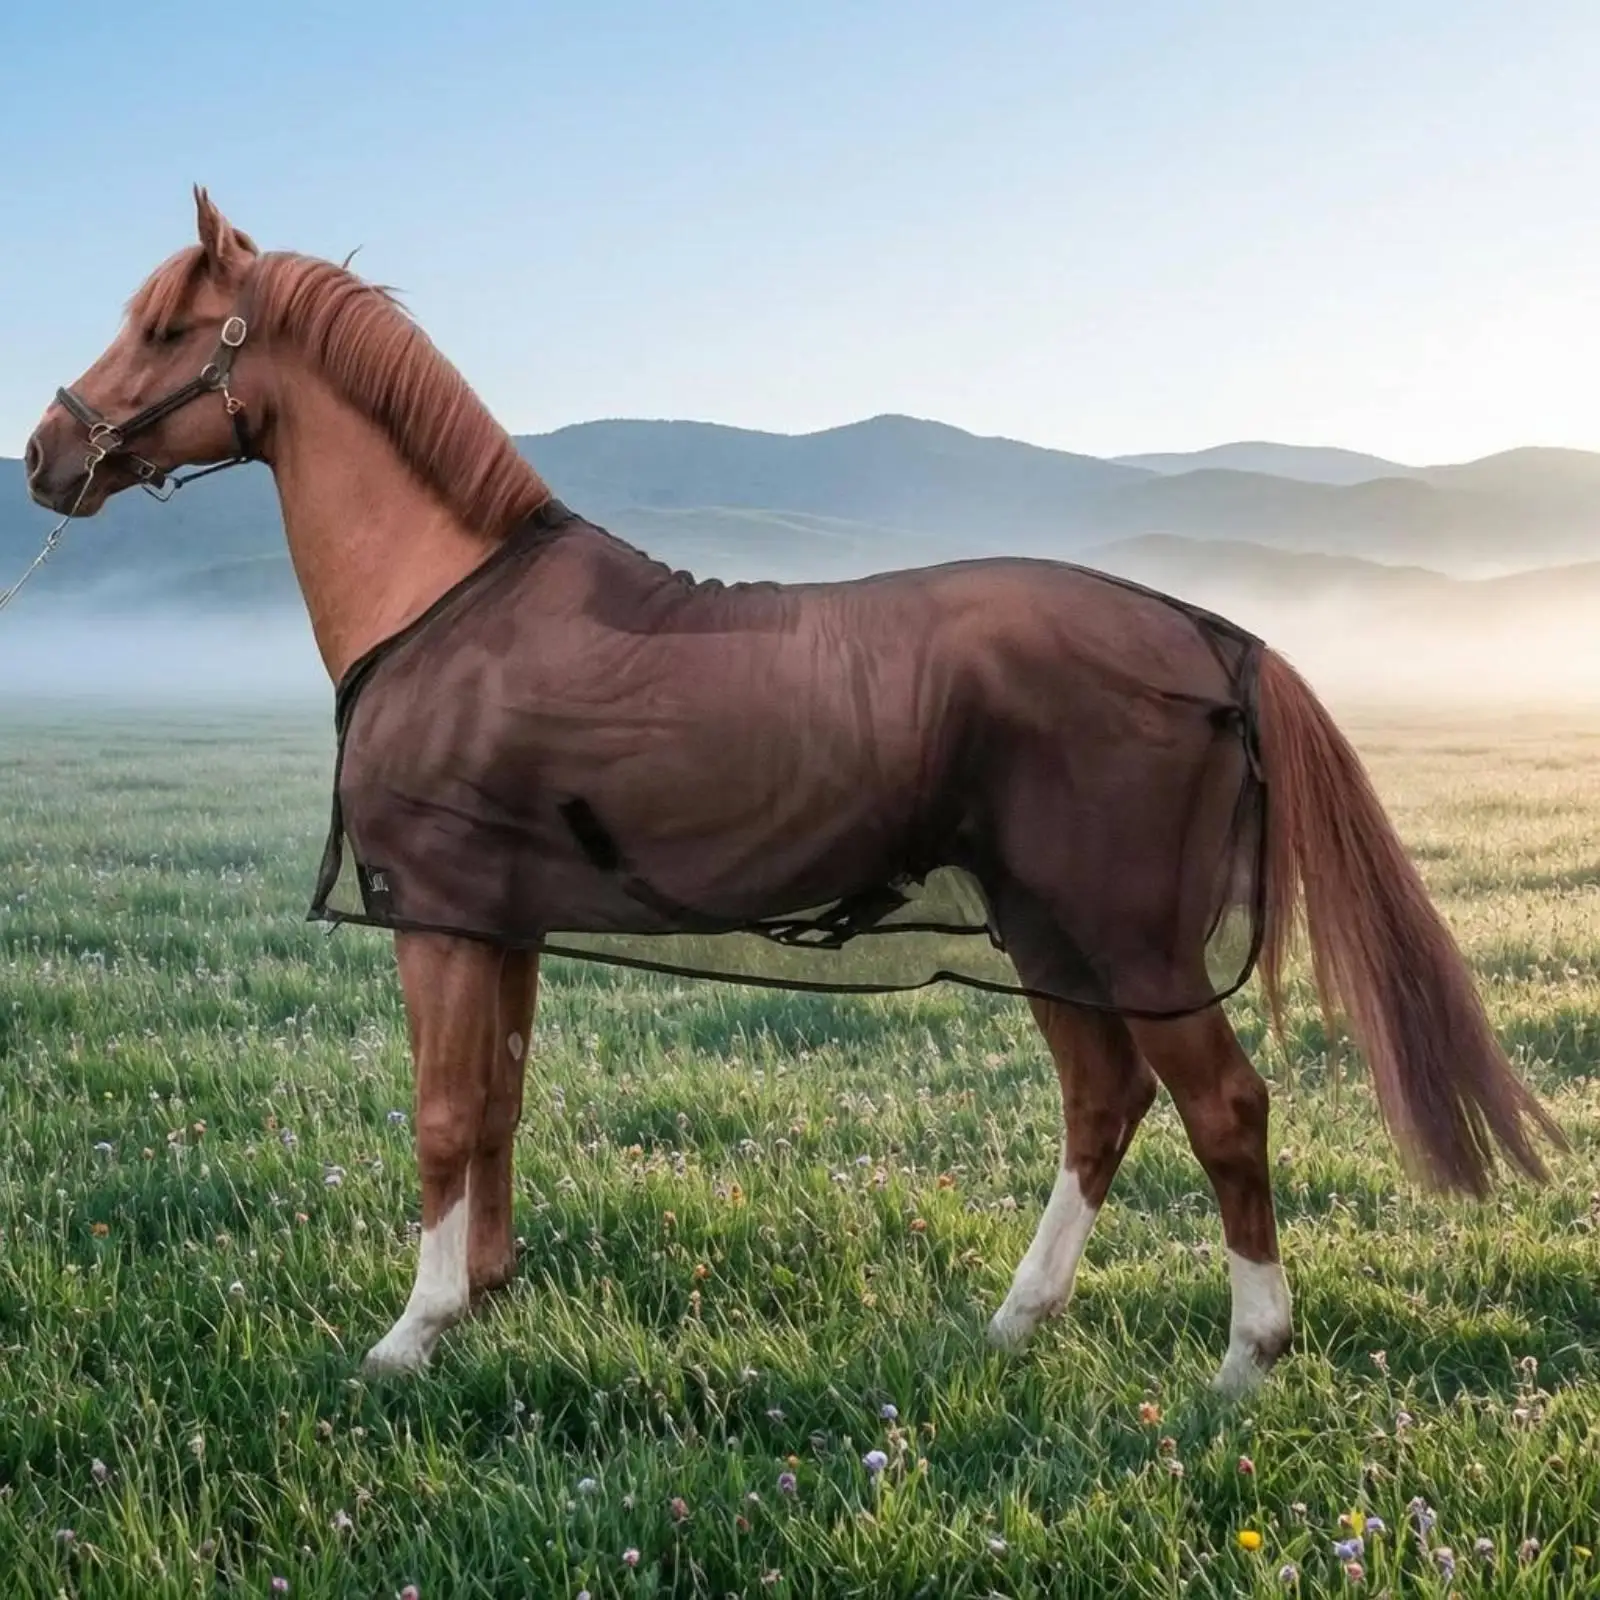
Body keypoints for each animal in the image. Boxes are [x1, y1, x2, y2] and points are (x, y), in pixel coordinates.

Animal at [23, 188, 1564, 1387]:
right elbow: (500, 1102)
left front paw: (413, 1330)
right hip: (1048, 934)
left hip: (1126, 937)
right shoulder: (499, 923)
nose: (44, 455)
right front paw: (485, 1296)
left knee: (1224, 1110)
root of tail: (1205, 632)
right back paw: (1020, 1317)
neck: (448, 605)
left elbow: (444, 1117)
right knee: (1103, 1103)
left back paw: (1247, 1354)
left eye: (165, 329)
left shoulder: (438, 918)